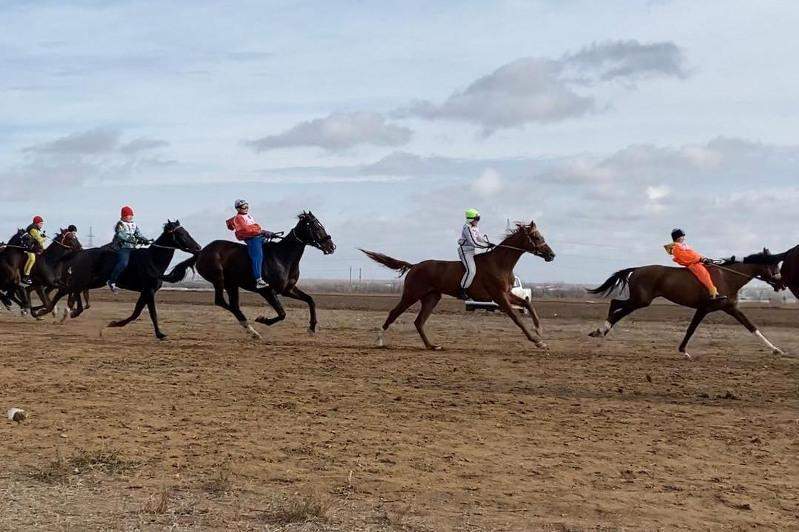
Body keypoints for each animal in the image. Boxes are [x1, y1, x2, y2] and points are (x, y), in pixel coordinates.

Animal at [33, 220, 201, 339]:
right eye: (182, 234)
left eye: (186, 232)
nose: (198, 247)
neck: (152, 260)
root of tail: (79, 253)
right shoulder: (149, 290)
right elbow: (151, 313)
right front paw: (160, 334)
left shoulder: (145, 292)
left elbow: (136, 313)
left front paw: (113, 324)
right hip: (84, 279)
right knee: (65, 290)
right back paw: (45, 311)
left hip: (92, 281)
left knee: (72, 291)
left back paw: (63, 311)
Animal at [161, 211, 335, 339]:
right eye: (316, 226)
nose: (331, 246)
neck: (283, 257)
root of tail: (201, 252)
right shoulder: (267, 291)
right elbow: (282, 313)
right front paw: (262, 320)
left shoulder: (287, 289)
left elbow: (310, 300)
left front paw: (311, 328)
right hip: (219, 279)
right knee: (223, 302)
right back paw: (249, 326)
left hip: (232, 285)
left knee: (233, 304)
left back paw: (250, 329)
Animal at [361, 220, 555, 350]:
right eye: (536, 237)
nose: (552, 255)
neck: (500, 263)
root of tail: (414, 266)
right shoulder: (499, 296)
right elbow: (516, 317)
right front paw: (537, 341)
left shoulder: (507, 294)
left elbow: (527, 303)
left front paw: (539, 330)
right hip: (411, 295)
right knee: (394, 313)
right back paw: (379, 340)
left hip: (432, 298)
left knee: (419, 322)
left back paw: (432, 346)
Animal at [587, 249, 785, 358]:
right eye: (774, 265)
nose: (782, 284)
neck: (727, 277)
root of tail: (637, 269)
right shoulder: (704, 308)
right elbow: (691, 329)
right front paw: (683, 351)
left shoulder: (731, 308)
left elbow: (752, 327)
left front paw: (777, 350)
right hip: (640, 301)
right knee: (617, 308)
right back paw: (601, 330)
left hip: (638, 300)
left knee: (615, 304)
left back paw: (600, 331)